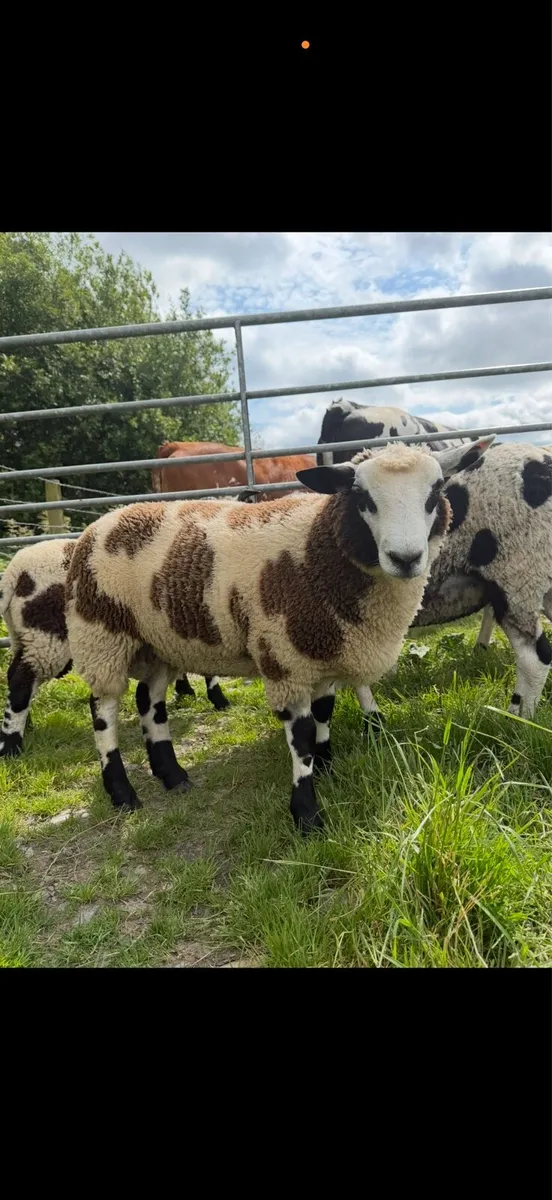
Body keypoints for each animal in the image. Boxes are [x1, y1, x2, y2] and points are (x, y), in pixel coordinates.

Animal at [64, 437, 485, 834]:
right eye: (362, 496)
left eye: (435, 491)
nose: (406, 558)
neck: (318, 549)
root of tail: (105, 520)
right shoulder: (285, 657)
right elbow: (301, 734)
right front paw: (307, 813)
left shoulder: (322, 650)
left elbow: (324, 712)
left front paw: (326, 765)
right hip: (101, 631)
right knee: (103, 709)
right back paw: (121, 792)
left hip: (158, 641)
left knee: (149, 701)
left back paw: (172, 775)